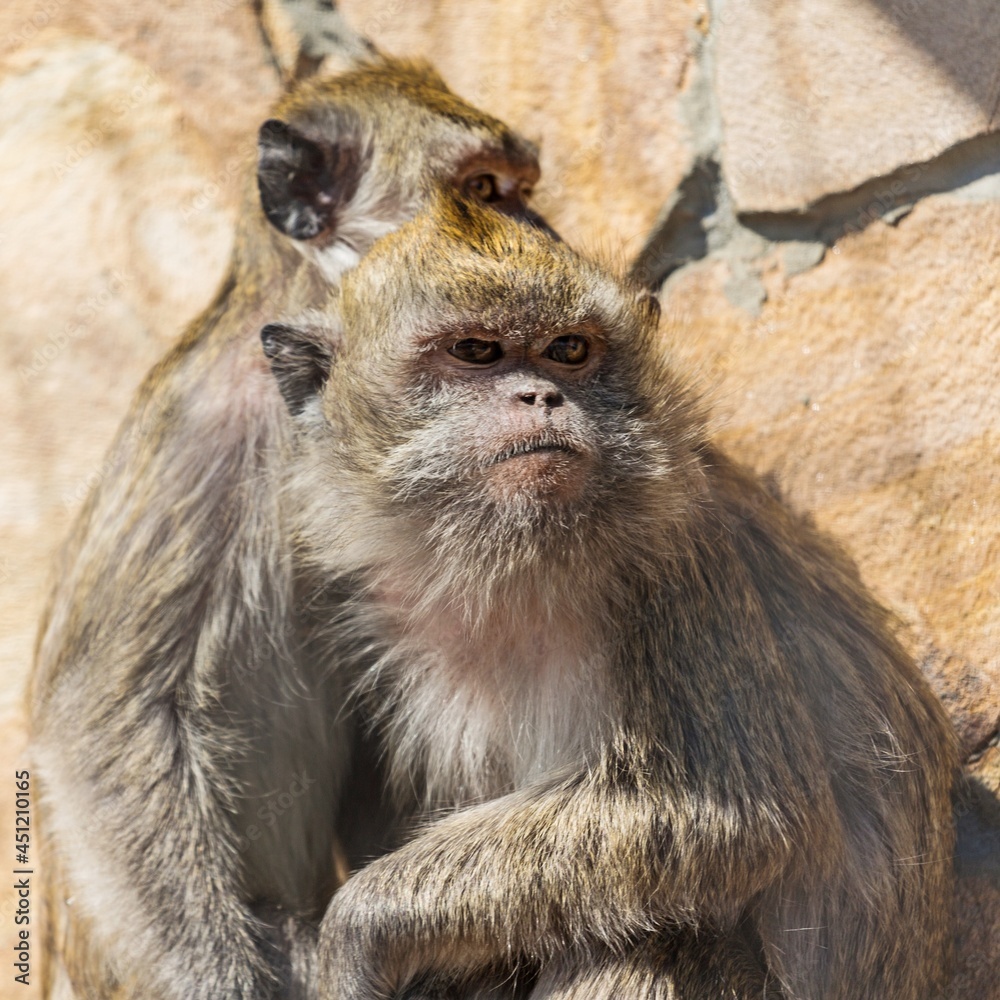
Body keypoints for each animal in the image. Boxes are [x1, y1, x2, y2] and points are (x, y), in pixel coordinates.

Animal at [256, 191, 952, 996]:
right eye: (475, 352)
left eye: (568, 350)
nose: (542, 395)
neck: (513, 565)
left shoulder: (678, 559)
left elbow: (743, 817)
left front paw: (356, 930)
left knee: (655, 941)